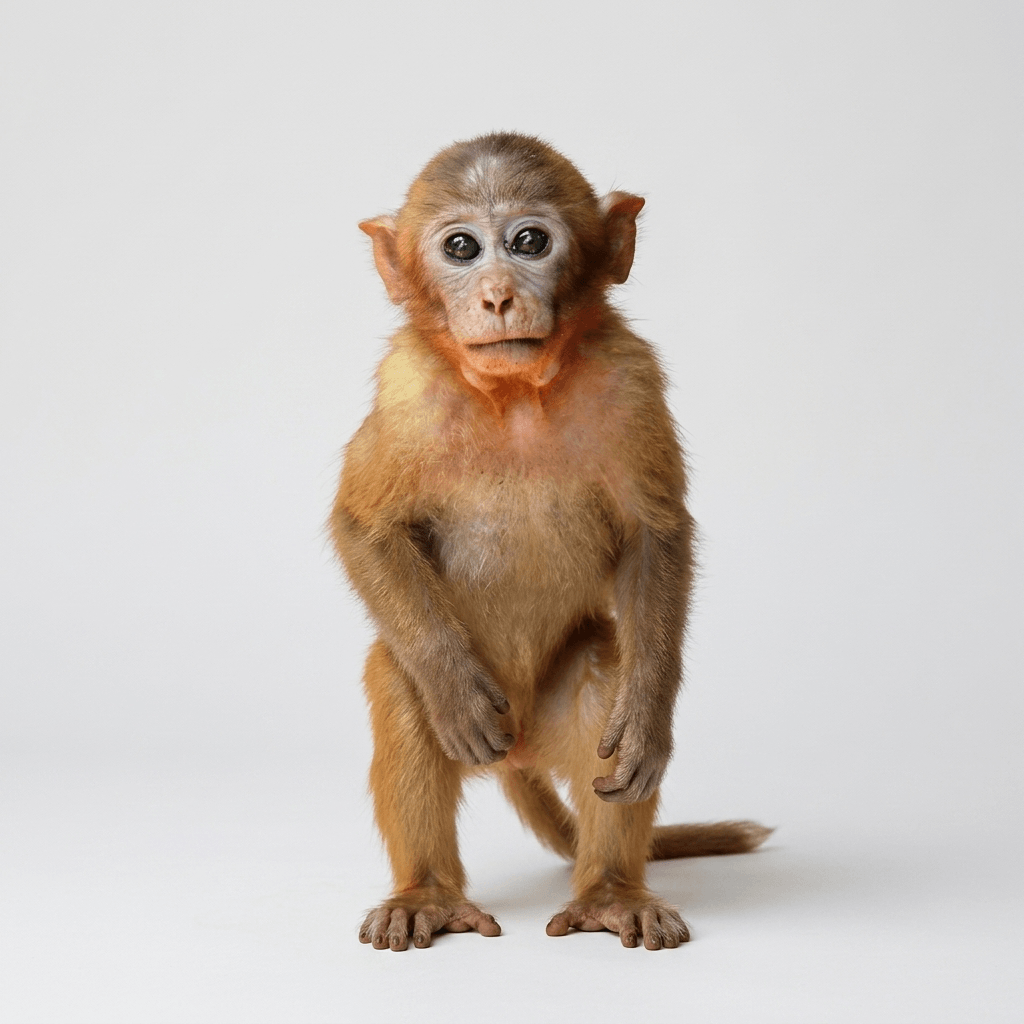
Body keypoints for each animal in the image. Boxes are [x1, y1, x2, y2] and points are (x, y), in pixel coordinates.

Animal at [330, 132, 770, 952]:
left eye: (530, 242)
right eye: (462, 247)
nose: (498, 295)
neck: (513, 394)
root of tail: (523, 748)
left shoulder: (630, 378)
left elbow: (657, 532)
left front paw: (649, 714)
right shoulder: (407, 386)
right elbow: (364, 525)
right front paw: (449, 682)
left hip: (563, 722)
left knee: (603, 677)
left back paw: (611, 891)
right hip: (494, 720)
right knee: (404, 688)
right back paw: (427, 891)